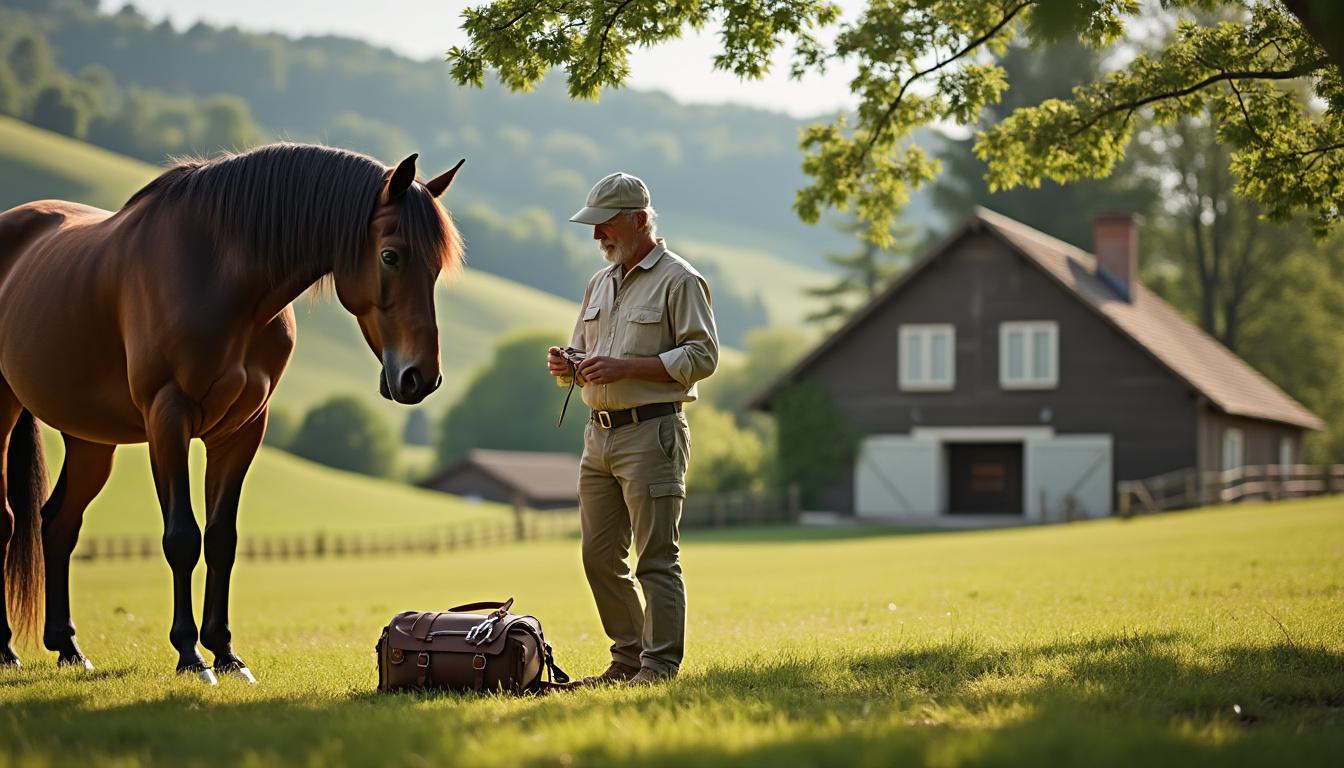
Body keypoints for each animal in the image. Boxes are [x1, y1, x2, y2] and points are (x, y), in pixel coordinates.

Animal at [0, 143, 464, 683]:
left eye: (435, 268)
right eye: (391, 255)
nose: (420, 378)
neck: (221, 277)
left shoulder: (242, 430)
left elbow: (222, 538)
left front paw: (226, 653)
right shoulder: (168, 419)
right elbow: (182, 538)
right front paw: (190, 655)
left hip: (92, 439)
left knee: (58, 523)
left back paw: (69, 647)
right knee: (7, 521)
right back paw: (6, 649)